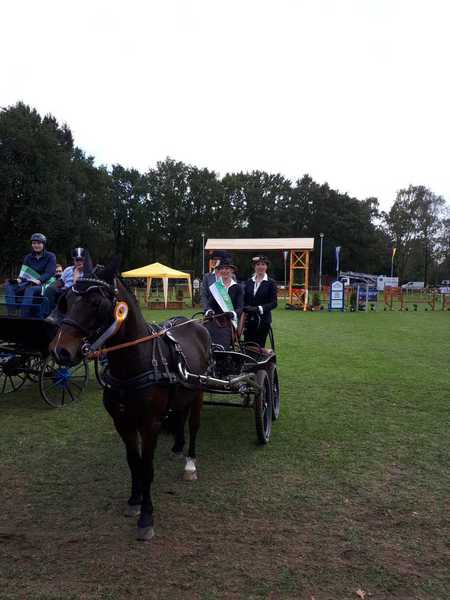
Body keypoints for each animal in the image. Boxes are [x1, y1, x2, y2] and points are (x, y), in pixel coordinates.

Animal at [48, 260, 211, 541]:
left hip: (199, 391)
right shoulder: (122, 422)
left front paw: (147, 516)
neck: (134, 363)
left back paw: (190, 463)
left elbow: (146, 468)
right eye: (65, 300)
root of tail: (195, 324)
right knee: (180, 415)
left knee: (194, 425)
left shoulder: (149, 424)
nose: (61, 351)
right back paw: (177, 446)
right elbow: (133, 463)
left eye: (96, 302)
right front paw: (135, 500)